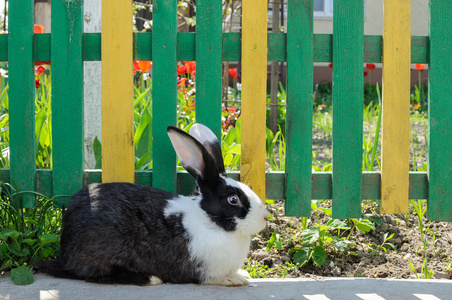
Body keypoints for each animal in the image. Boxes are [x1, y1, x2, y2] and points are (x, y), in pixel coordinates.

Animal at [39, 123, 268, 286]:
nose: (265, 218)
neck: (209, 221)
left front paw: (242, 274)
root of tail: (66, 245)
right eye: (233, 199)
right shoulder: (205, 269)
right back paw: (150, 278)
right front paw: (234, 279)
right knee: (91, 274)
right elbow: (212, 278)